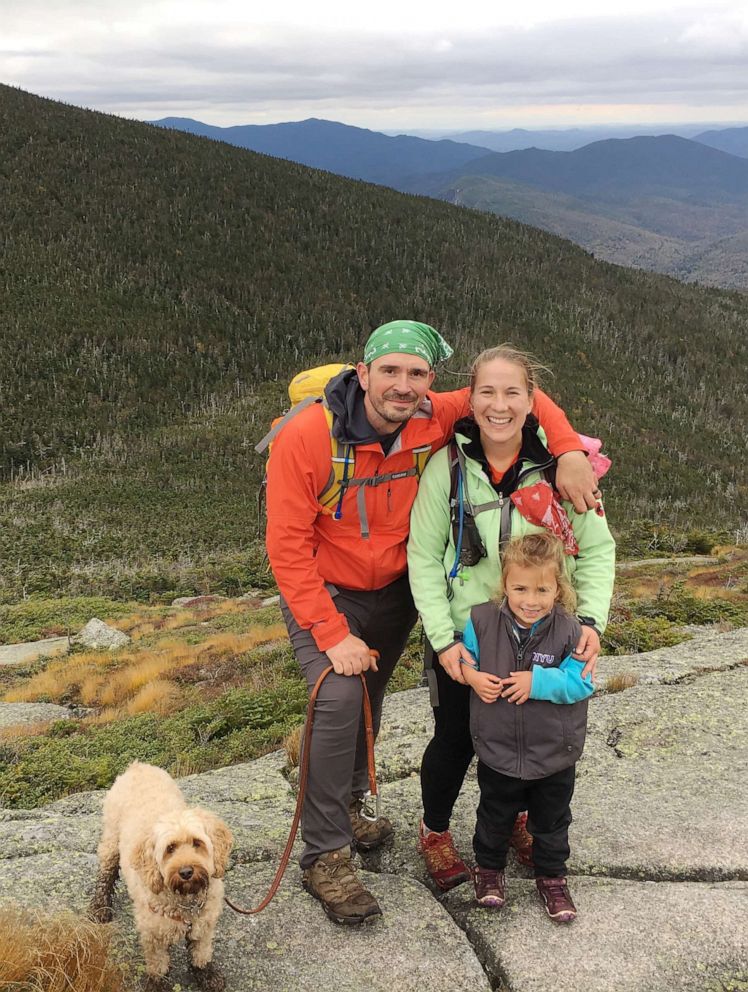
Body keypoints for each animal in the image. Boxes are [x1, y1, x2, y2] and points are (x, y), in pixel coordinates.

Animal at [92, 764, 235, 988]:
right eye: (170, 848)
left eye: (197, 843)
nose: (186, 872)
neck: (185, 901)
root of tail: (137, 765)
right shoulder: (153, 934)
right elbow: (158, 965)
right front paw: (158, 983)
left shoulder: (203, 923)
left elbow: (200, 952)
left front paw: (205, 973)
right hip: (111, 840)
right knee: (105, 874)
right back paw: (99, 907)